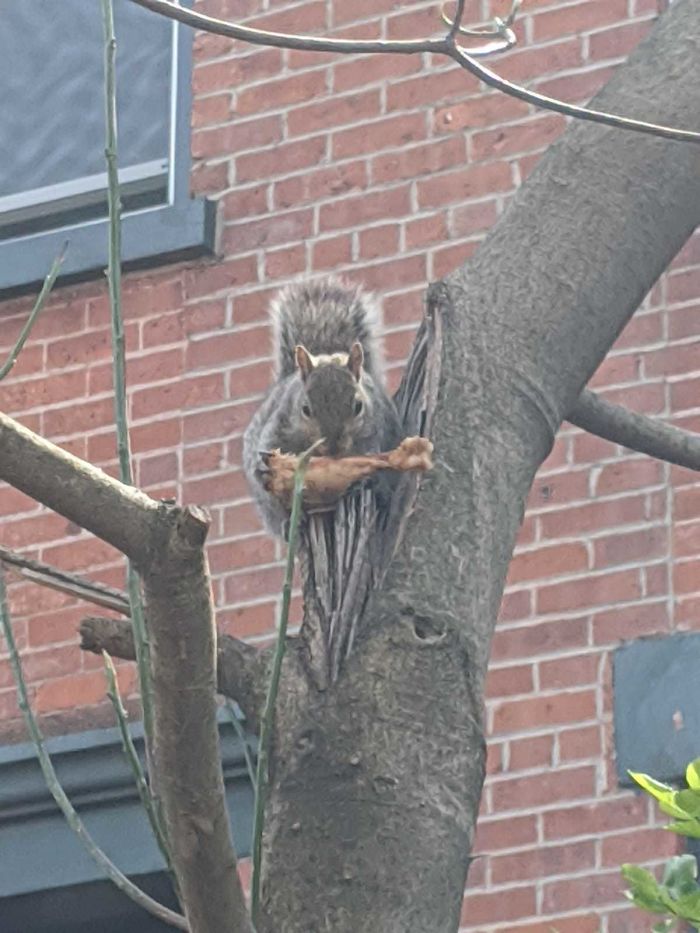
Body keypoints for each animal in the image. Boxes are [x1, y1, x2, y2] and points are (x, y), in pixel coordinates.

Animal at [243, 276, 404, 536]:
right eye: (305, 409)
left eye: (358, 407)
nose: (333, 447)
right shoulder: (277, 427)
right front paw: (265, 469)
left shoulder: (374, 430)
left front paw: (365, 480)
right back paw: (290, 522)